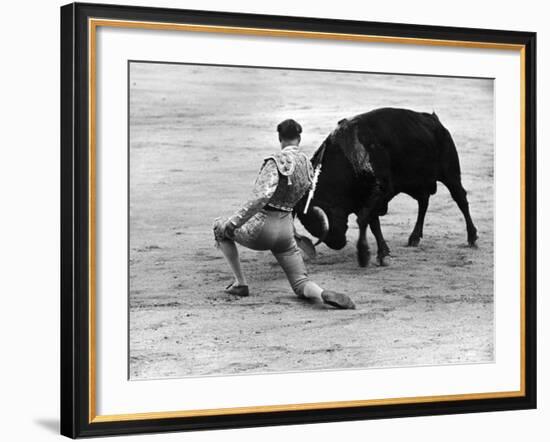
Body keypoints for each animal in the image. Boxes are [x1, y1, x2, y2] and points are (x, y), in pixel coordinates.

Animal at [296, 108, 480, 266]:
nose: (336, 243)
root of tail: (434, 120)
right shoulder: (366, 198)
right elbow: (373, 224)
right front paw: (382, 253)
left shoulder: (381, 191)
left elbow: (363, 219)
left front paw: (364, 254)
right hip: (416, 183)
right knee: (423, 202)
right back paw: (414, 237)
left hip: (451, 174)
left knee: (461, 199)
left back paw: (472, 237)